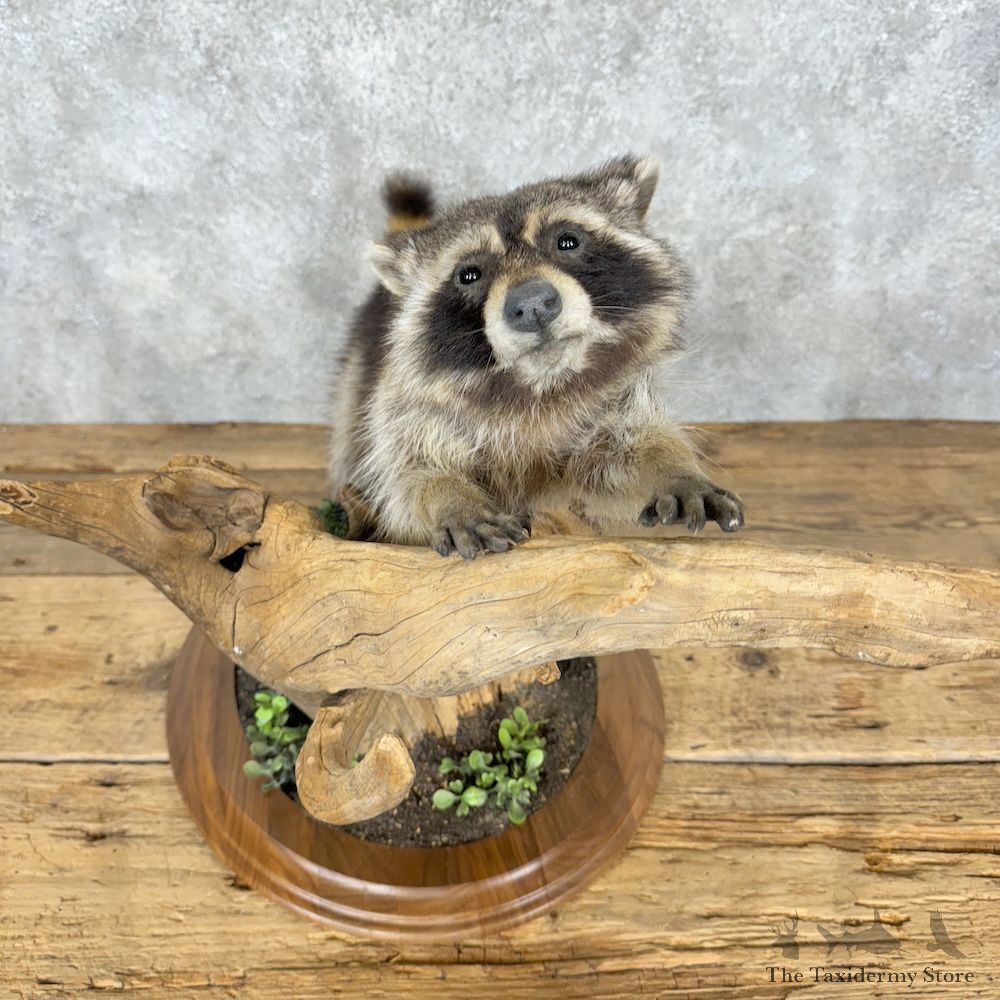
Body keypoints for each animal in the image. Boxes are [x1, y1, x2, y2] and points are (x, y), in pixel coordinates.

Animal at [330, 154, 745, 558]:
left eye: (567, 241)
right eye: (469, 274)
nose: (531, 306)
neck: (539, 384)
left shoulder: (617, 394)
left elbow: (635, 441)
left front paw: (674, 467)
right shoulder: (405, 408)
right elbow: (409, 478)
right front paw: (450, 497)